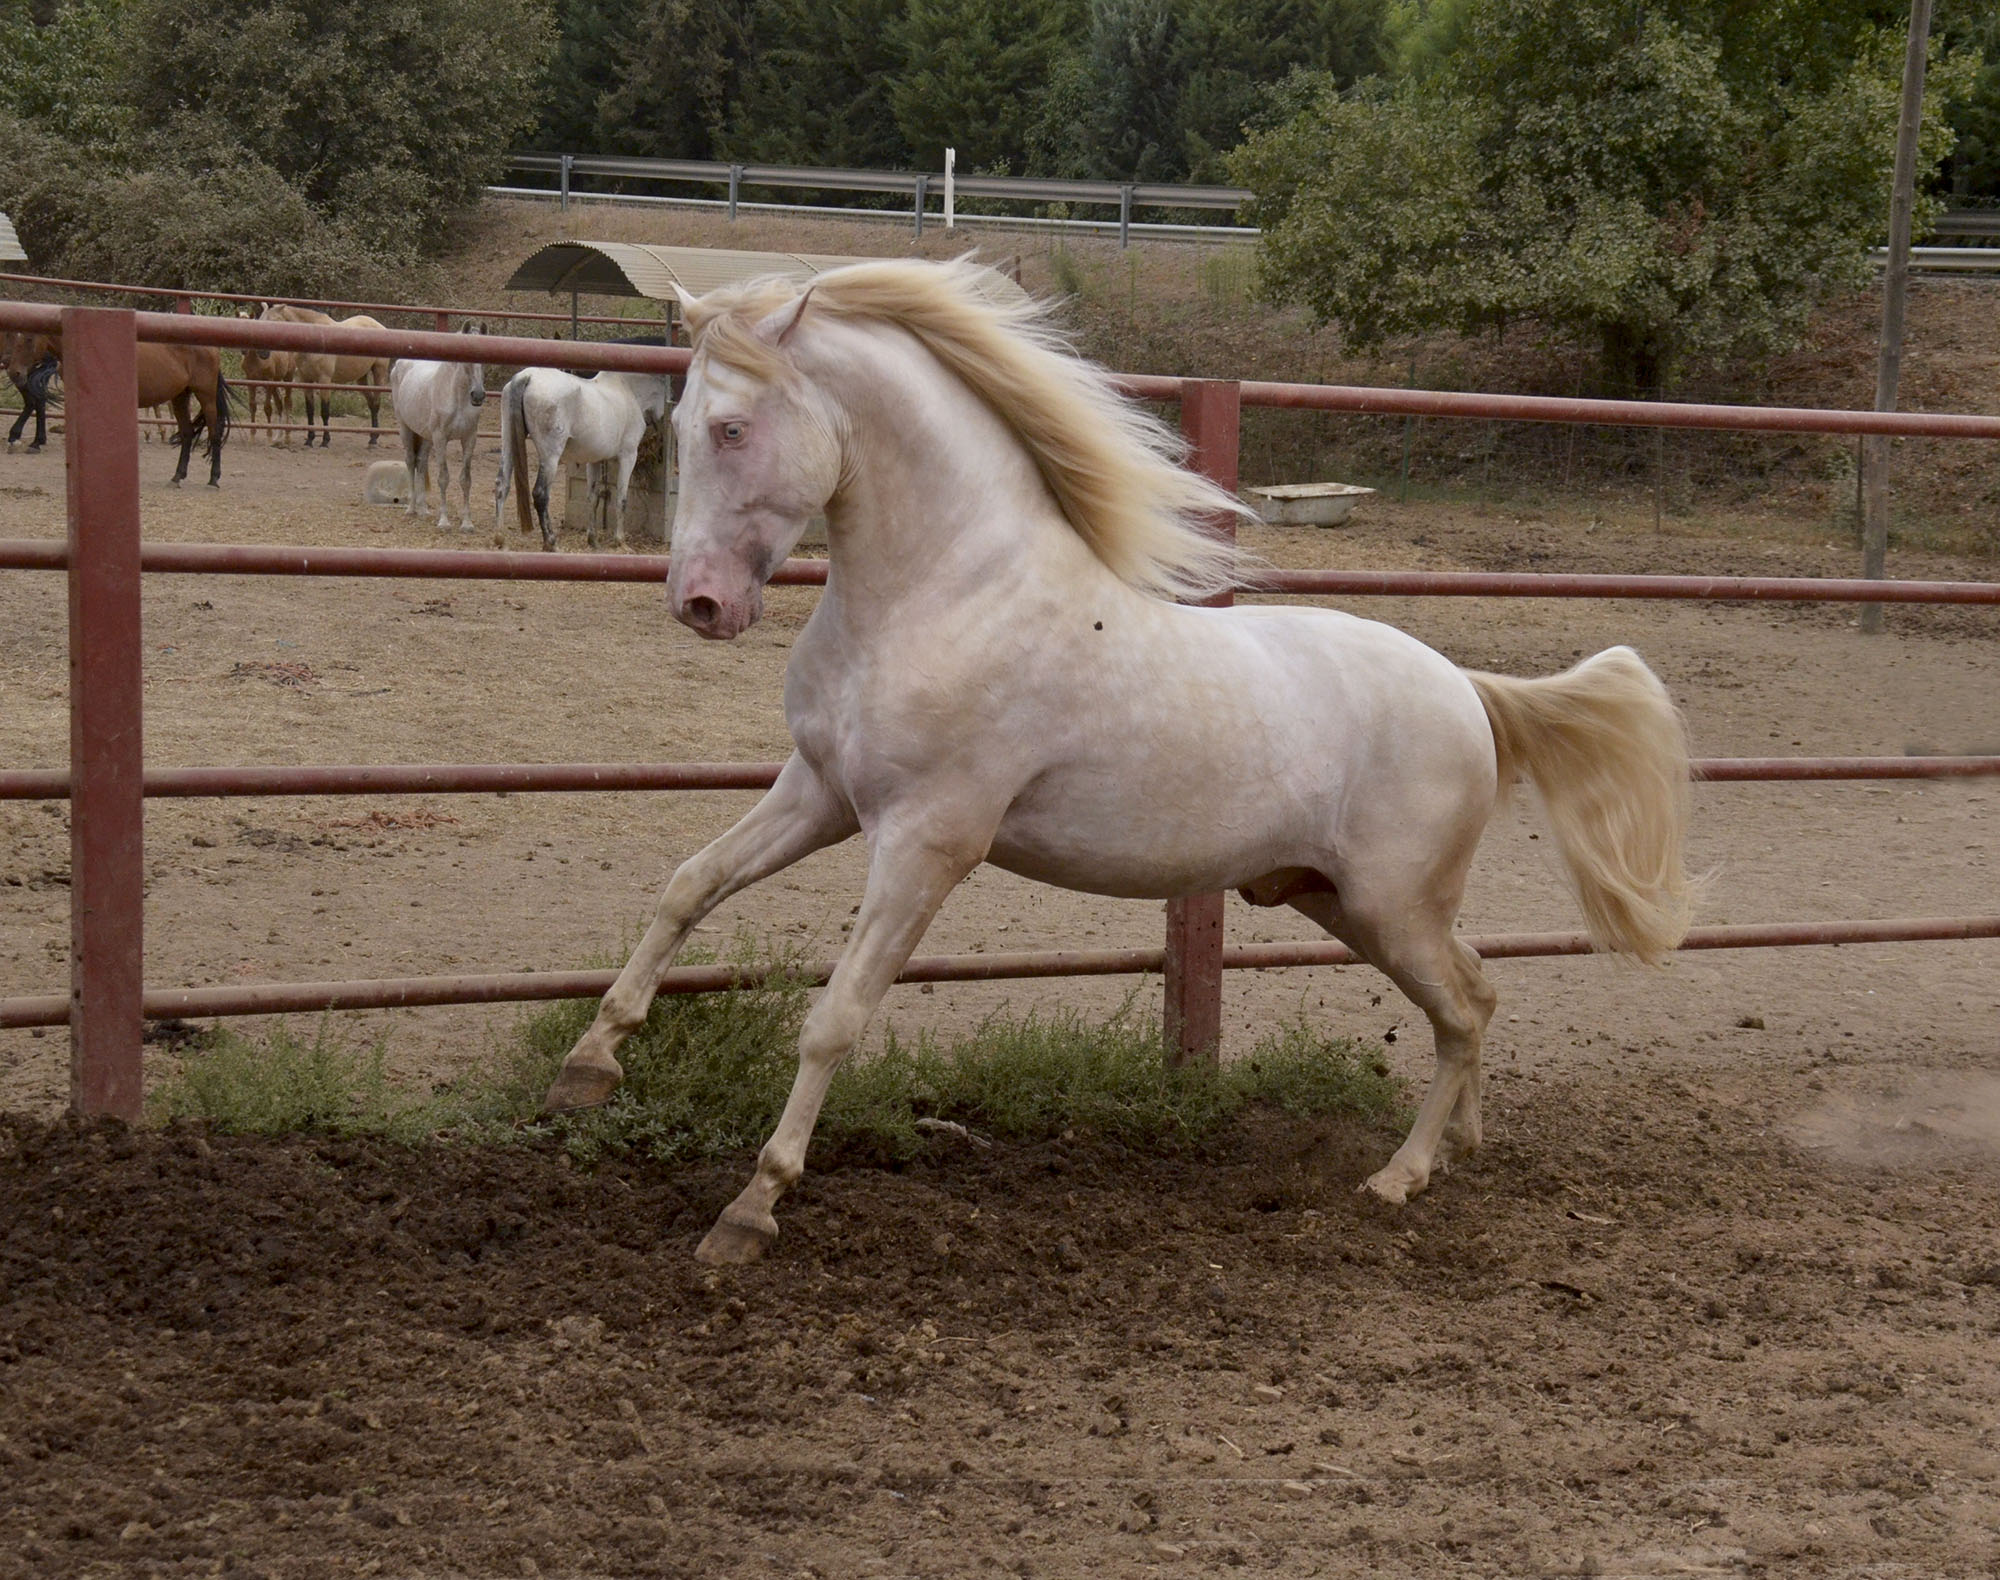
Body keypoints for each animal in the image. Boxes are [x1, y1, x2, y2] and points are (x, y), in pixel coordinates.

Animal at [388, 324, 490, 536]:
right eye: (465, 358)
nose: (478, 395)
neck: (456, 396)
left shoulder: (469, 438)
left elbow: (465, 479)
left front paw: (467, 523)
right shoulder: (441, 438)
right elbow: (443, 477)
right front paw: (444, 521)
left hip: (426, 436)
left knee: (421, 462)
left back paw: (423, 510)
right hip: (405, 428)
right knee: (410, 461)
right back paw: (411, 508)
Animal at [494, 366, 668, 552]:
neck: (626, 389)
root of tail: (527, 376)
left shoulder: (594, 460)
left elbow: (593, 498)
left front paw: (593, 541)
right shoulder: (628, 456)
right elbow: (622, 499)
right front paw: (620, 542)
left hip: (508, 444)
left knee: (502, 485)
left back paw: (500, 540)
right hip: (550, 458)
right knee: (540, 495)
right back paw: (550, 542)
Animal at [540, 262, 1696, 1272]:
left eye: (731, 429)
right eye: (682, 425)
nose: (699, 605)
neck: (946, 594)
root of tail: (1469, 689)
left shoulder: (929, 839)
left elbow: (834, 1018)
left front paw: (749, 1209)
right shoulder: (819, 793)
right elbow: (689, 884)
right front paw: (586, 1069)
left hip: (1390, 903)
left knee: (1461, 1010)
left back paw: (1398, 1177)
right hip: (1338, 901)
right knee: (1479, 992)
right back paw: (1458, 1148)